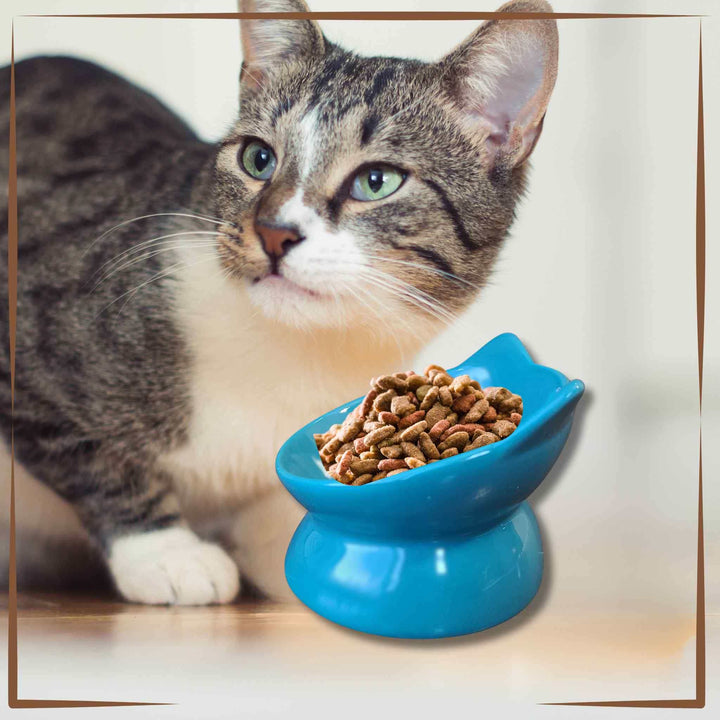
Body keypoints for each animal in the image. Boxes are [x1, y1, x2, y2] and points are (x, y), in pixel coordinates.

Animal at [0, 0, 556, 604]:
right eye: (258, 158)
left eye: (377, 181)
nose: (273, 232)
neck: (298, 352)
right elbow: (97, 459)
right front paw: (165, 553)